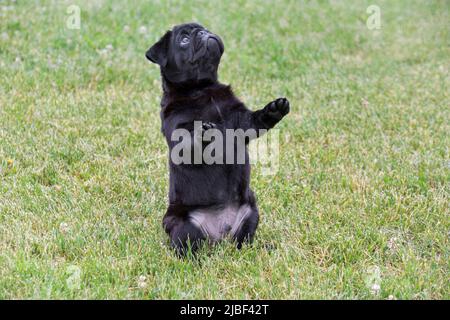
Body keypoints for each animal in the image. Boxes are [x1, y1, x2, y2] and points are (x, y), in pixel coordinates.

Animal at [146, 23, 290, 255]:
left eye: (202, 28)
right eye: (184, 40)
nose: (203, 33)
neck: (203, 89)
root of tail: (219, 236)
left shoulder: (242, 121)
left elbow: (256, 120)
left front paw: (273, 110)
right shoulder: (178, 131)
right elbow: (189, 141)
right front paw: (204, 132)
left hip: (251, 212)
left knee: (244, 241)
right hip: (183, 224)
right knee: (184, 246)